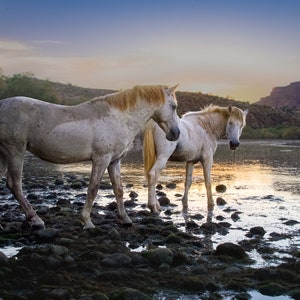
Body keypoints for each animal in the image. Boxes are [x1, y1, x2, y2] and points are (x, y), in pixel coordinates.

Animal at [0, 84, 180, 230]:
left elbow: (119, 190)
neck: (118, 118)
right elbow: (93, 189)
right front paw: (87, 221)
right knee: (15, 185)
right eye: (173, 106)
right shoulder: (101, 159)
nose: (176, 134)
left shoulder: (114, 161)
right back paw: (36, 219)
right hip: (15, 151)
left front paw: (125, 219)